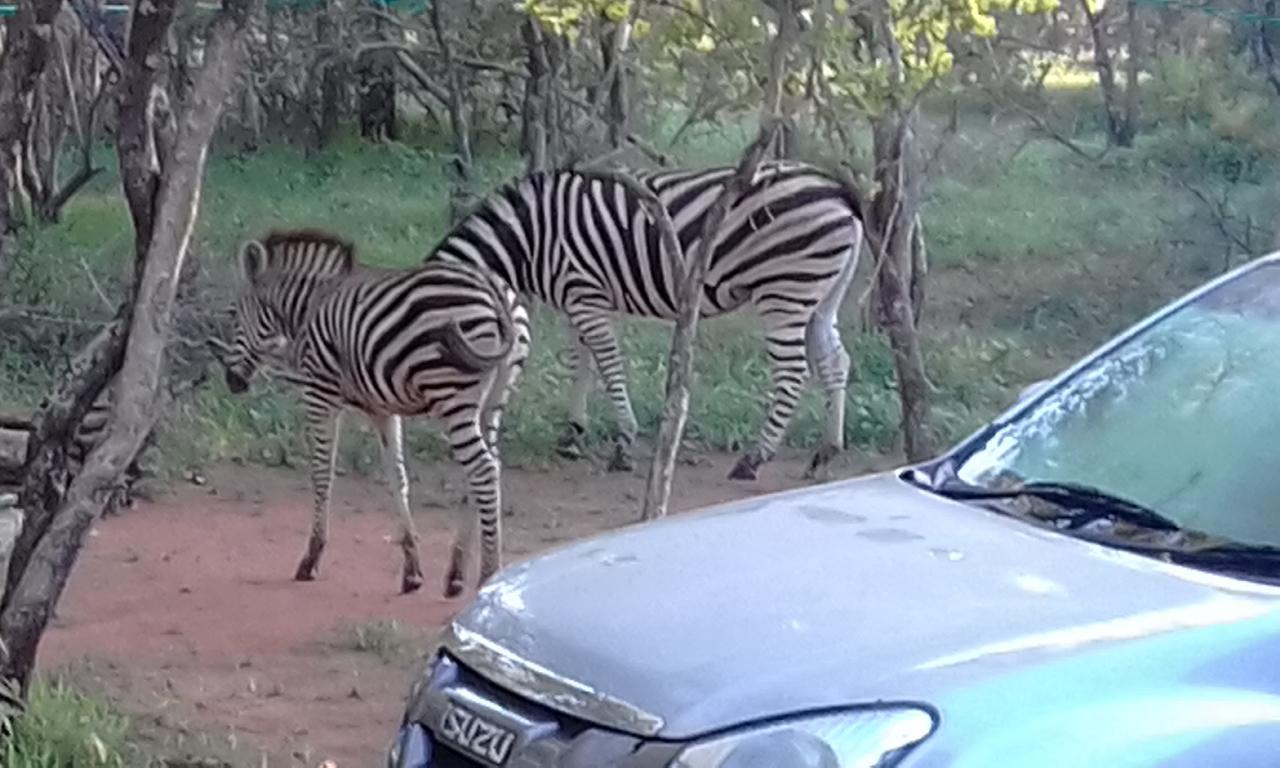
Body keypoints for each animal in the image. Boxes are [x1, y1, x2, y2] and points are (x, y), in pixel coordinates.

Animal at [209, 230, 529, 596]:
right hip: (494, 400)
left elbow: (322, 473)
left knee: (483, 470)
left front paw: (311, 557)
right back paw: (459, 573)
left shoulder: (320, 394)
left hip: (452, 396)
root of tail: (494, 288)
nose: (232, 382)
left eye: (233, 315)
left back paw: (488, 573)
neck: (310, 307)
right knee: (488, 467)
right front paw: (412, 569)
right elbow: (397, 477)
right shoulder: (382, 409)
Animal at [427, 158, 860, 476]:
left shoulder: (584, 293)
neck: (530, 237)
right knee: (834, 360)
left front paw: (623, 442)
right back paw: (826, 452)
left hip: (786, 288)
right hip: (821, 295)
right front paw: (573, 433)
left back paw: (754, 458)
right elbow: (581, 363)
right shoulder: (576, 299)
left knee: (792, 372)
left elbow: (607, 364)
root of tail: (836, 187)